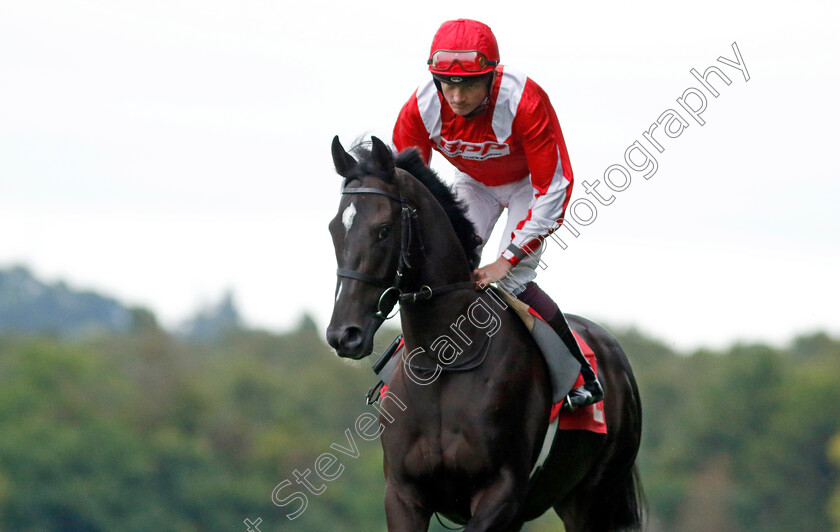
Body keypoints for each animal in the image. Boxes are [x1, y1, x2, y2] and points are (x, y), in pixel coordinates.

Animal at [326, 137, 644, 532]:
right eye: (334, 229)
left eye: (383, 229)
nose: (344, 334)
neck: (445, 362)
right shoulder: (403, 494)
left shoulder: (501, 491)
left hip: (594, 498)